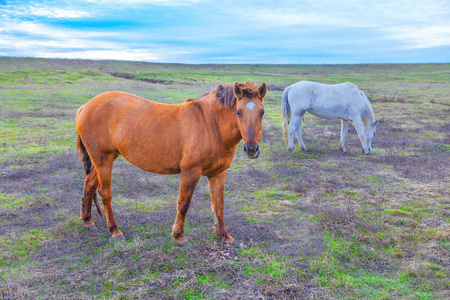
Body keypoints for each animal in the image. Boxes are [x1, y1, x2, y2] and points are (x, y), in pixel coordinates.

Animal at [75, 81, 266, 246]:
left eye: (262, 112)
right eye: (238, 112)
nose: (251, 149)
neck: (211, 124)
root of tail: (85, 107)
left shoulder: (218, 174)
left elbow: (218, 205)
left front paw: (224, 236)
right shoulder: (191, 171)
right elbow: (184, 203)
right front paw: (179, 236)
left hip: (103, 159)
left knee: (89, 183)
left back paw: (87, 221)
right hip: (103, 160)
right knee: (104, 192)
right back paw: (114, 230)